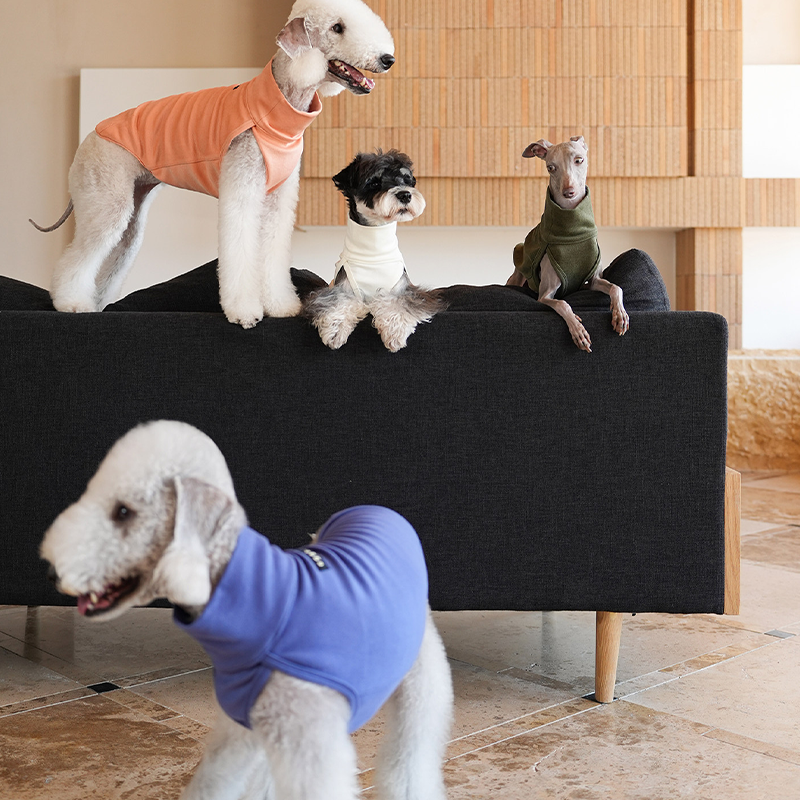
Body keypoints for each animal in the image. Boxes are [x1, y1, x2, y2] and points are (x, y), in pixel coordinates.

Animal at [30, 0, 395, 329]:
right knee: (76, 258)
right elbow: (239, 250)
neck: (279, 105)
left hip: (130, 218)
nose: (388, 59)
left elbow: (273, 252)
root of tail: (90, 138)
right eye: (337, 27)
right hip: (106, 202)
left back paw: (95, 303)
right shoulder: (242, 188)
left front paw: (281, 305)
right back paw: (72, 303)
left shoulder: (278, 199)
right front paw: (245, 312)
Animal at [40, 420, 453, 800]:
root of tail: (382, 511)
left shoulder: (309, 749)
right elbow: (217, 783)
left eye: (123, 511)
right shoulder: (243, 729)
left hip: (421, 686)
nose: (53, 569)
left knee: (410, 760)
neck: (266, 605)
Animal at [302, 150, 445, 352]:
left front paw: (395, 333)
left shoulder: (404, 289)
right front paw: (335, 332)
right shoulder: (341, 289)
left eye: (406, 180)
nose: (405, 195)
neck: (373, 252)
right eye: (374, 183)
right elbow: (338, 303)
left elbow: (397, 303)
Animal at [507, 136, 629, 352]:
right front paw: (578, 331)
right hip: (516, 279)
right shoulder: (545, 295)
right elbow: (563, 303)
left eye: (579, 160)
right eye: (551, 167)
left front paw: (619, 315)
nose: (569, 192)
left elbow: (616, 287)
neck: (571, 230)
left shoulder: (592, 281)